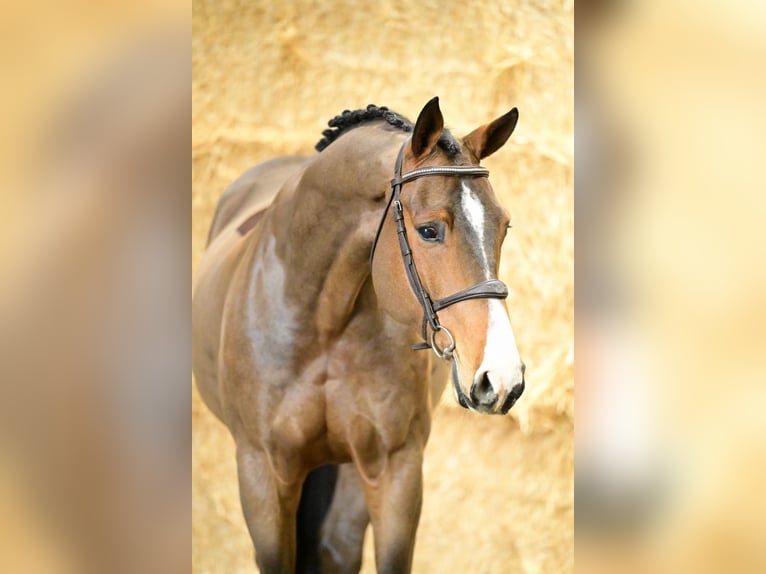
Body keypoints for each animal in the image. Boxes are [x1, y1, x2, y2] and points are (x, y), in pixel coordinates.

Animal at [192, 97, 526, 573]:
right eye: (429, 230)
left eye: (503, 226)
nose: (502, 378)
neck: (325, 324)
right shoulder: (261, 471)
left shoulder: (394, 468)